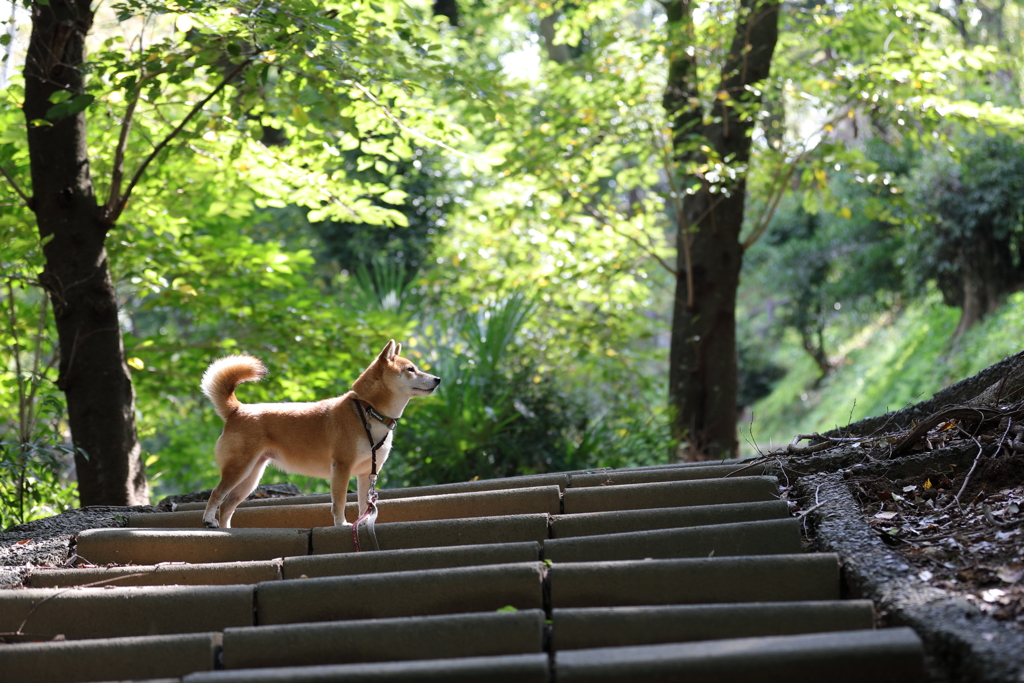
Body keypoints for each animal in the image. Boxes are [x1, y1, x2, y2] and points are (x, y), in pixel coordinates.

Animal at [199, 339, 440, 528]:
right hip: (239, 469)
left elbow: (364, 504)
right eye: (410, 369)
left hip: (251, 477)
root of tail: (237, 410)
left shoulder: (367, 474)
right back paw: (209, 520)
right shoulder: (342, 467)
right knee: (217, 494)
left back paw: (226, 529)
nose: (438, 379)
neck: (369, 411)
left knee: (228, 505)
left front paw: (362, 522)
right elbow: (340, 501)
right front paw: (342, 524)